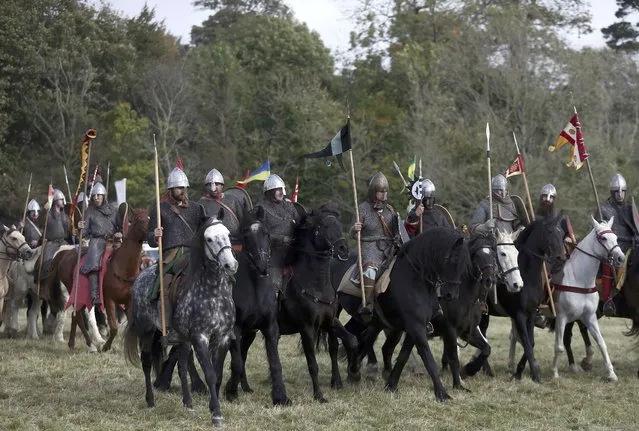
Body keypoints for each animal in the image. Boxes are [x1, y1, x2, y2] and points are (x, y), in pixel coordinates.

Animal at [46, 210, 149, 354]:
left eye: (149, 218)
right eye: (140, 220)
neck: (123, 267)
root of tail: (64, 254)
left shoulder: (129, 302)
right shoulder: (109, 300)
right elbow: (114, 328)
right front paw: (105, 346)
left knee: (75, 316)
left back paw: (72, 344)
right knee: (78, 316)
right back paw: (92, 345)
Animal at [123, 213, 238, 428]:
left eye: (228, 234)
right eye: (209, 239)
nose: (230, 265)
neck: (212, 292)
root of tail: (140, 277)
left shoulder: (222, 337)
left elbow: (217, 374)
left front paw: (214, 407)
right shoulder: (200, 338)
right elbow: (210, 374)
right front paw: (216, 414)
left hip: (182, 338)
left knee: (182, 366)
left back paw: (188, 402)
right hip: (146, 331)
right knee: (147, 363)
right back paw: (150, 401)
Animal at [480, 213, 564, 382]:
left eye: (562, 233)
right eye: (550, 232)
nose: (561, 257)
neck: (526, 276)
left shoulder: (531, 314)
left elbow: (530, 342)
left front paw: (519, 372)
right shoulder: (518, 314)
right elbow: (525, 341)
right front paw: (535, 373)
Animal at [552, 216, 624, 382]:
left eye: (616, 237)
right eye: (603, 238)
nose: (620, 258)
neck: (579, 279)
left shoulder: (588, 317)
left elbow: (601, 343)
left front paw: (611, 373)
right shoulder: (561, 317)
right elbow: (558, 346)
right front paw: (554, 373)